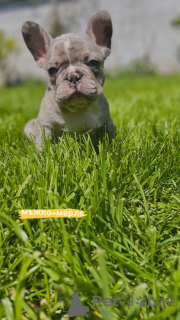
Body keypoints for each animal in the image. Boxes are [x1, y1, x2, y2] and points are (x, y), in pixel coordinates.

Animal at [21, 10, 114, 149]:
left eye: (93, 63)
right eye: (52, 70)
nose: (73, 76)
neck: (78, 108)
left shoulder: (107, 122)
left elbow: (111, 135)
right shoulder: (45, 126)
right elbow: (42, 143)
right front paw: (41, 154)